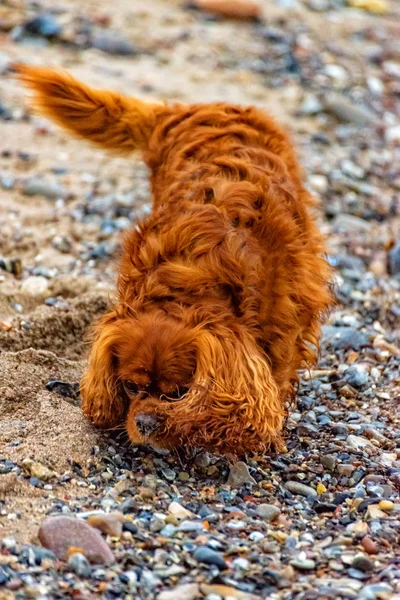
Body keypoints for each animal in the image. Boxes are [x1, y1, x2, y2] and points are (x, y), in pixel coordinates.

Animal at [14, 64, 332, 454]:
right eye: (130, 387)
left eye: (179, 392)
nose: (146, 423)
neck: (193, 279)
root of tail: (187, 108)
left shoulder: (286, 318)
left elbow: (280, 371)